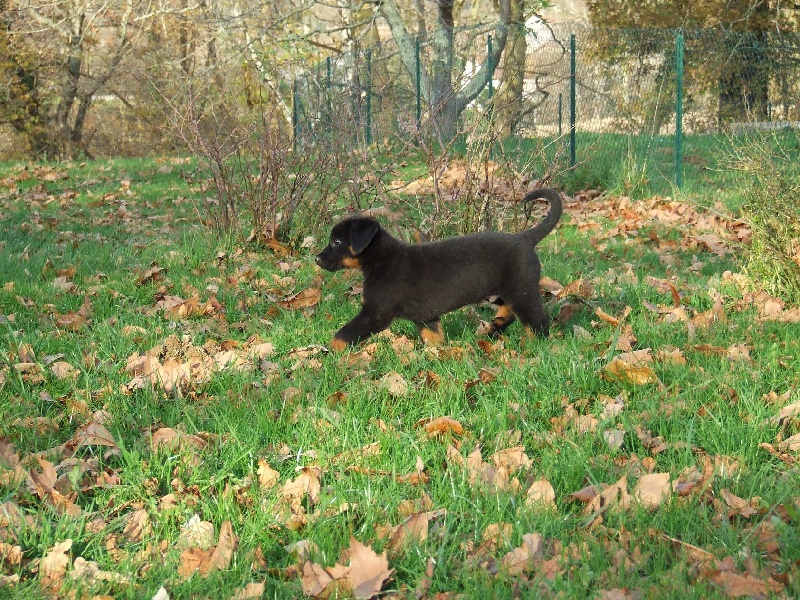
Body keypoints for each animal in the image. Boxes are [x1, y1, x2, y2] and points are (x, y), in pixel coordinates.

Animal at [316, 189, 564, 352]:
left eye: (336, 242)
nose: (317, 259)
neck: (381, 260)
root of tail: (524, 238)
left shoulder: (375, 313)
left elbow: (344, 333)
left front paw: (328, 352)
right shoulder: (426, 317)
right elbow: (432, 336)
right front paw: (436, 355)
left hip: (521, 288)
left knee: (537, 322)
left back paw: (534, 347)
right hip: (503, 291)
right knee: (510, 312)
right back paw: (493, 328)